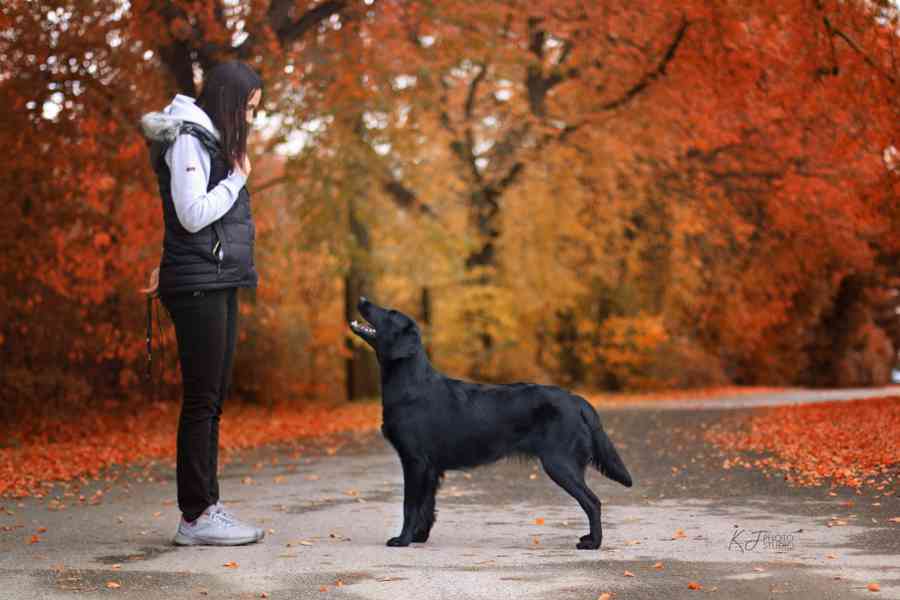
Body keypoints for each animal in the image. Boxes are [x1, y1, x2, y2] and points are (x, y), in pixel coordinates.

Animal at [348, 296, 628, 548]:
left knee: (593, 502)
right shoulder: (431, 468)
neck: (409, 383)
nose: (361, 298)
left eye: (391, 313)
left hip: (560, 463)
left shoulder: (415, 460)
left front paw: (402, 540)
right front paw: (419, 537)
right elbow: (427, 507)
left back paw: (594, 543)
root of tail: (576, 400)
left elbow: (410, 505)